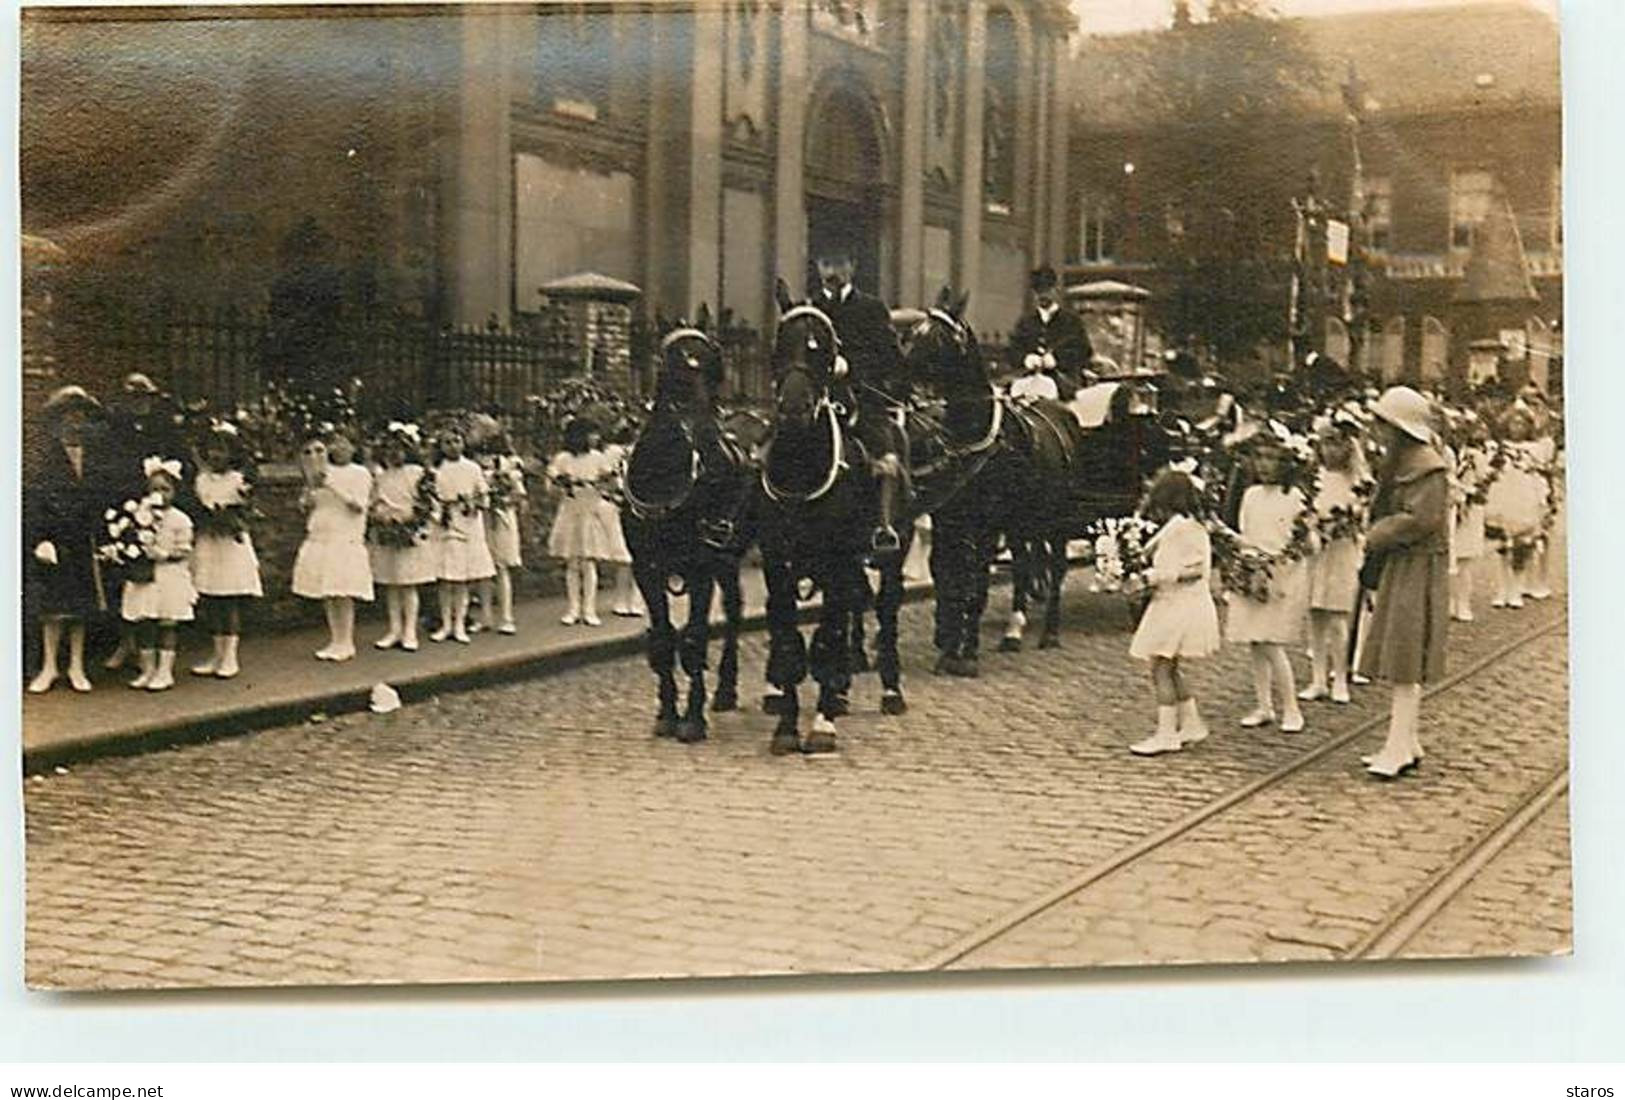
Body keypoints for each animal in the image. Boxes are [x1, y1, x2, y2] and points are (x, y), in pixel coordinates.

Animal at [620, 313, 754, 740]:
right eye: (674, 374)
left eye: (712, 369)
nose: (723, 461)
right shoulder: (646, 568)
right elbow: (664, 639)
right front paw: (666, 713)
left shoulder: (700, 568)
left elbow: (694, 639)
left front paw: (692, 719)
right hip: (727, 560)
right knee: (734, 608)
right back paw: (726, 690)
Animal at [757, 279, 910, 750]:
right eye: (779, 342)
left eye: (823, 348)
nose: (793, 409)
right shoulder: (778, 563)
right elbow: (789, 638)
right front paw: (787, 726)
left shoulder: (837, 557)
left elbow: (826, 636)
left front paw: (821, 723)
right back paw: (841, 691)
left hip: (890, 550)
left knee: (884, 610)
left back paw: (889, 690)